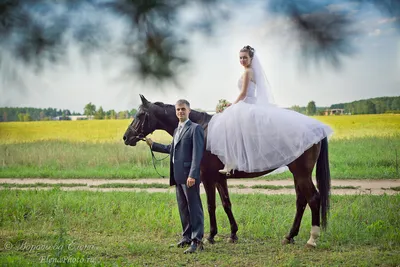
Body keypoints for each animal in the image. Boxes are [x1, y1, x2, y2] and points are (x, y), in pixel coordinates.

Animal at [123, 95, 330, 248]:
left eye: (140, 115)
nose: (126, 137)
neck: (203, 129)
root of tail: (316, 127)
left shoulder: (206, 177)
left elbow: (210, 205)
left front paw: (210, 236)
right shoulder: (220, 178)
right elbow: (226, 203)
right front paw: (233, 234)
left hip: (301, 174)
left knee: (313, 199)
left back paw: (312, 239)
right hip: (298, 175)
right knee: (301, 201)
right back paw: (290, 236)